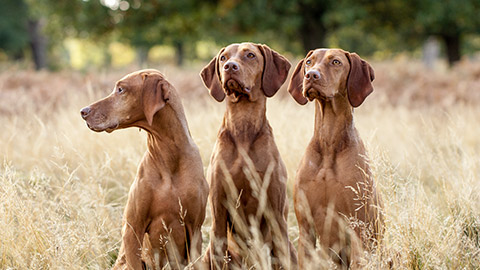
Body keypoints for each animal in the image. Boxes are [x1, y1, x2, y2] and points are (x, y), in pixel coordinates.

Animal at [201, 43, 298, 268]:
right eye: (223, 58)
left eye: (251, 55)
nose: (230, 66)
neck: (243, 128)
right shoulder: (219, 210)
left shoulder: (276, 212)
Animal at [286, 49, 384, 268]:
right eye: (309, 62)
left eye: (336, 62)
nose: (311, 75)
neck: (329, 144)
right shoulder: (306, 229)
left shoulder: (358, 230)